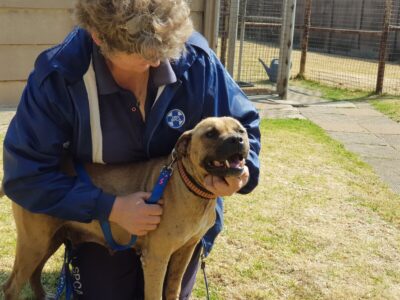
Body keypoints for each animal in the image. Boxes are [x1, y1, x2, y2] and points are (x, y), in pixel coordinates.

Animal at [3, 117, 250, 300]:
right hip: (33, 244)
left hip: (49, 241)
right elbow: (154, 295)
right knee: (11, 286)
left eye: (241, 130)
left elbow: (173, 289)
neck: (189, 185)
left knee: (34, 274)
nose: (237, 139)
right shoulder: (156, 259)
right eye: (210, 133)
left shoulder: (185, 251)